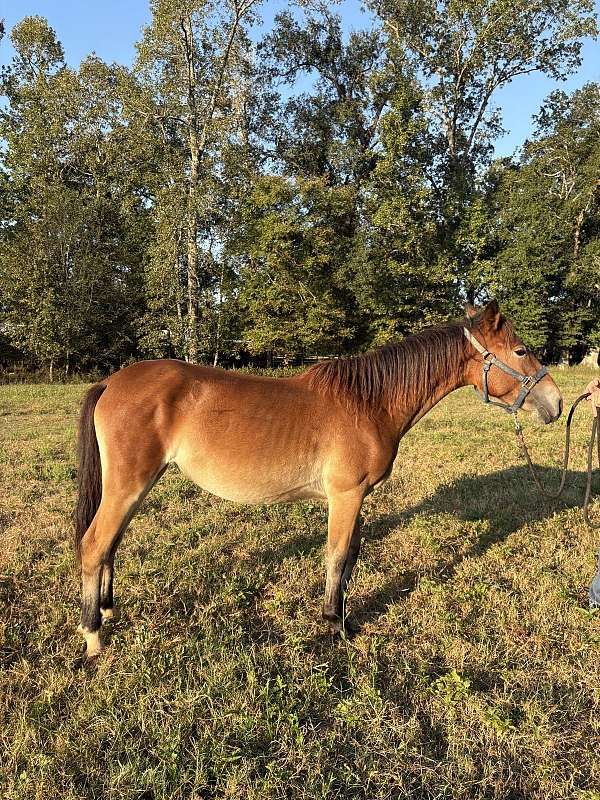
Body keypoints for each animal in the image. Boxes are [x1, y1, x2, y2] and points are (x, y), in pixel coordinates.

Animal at [74, 300, 562, 658]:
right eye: (521, 351)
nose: (555, 402)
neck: (369, 402)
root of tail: (111, 382)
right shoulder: (345, 495)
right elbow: (337, 555)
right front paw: (333, 624)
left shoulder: (358, 497)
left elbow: (351, 558)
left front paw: (344, 615)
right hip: (129, 485)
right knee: (94, 544)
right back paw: (93, 635)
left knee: (111, 544)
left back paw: (107, 610)